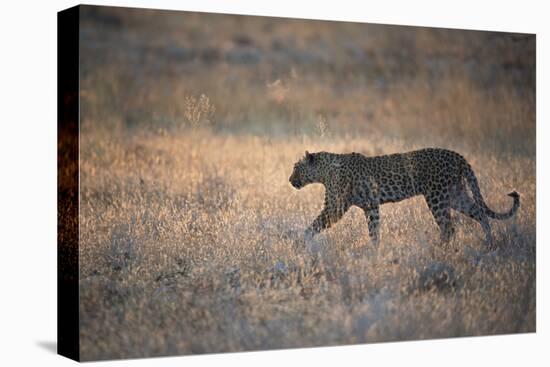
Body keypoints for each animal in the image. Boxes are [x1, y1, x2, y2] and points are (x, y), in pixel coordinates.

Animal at [288, 148, 520, 249]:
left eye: (296, 168)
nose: (290, 180)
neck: (324, 171)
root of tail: (458, 156)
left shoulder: (334, 207)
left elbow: (315, 225)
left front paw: (302, 241)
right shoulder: (371, 207)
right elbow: (374, 231)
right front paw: (375, 251)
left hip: (437, 197)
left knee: (449, 227)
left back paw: (438, 250)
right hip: (455, 194)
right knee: (480, 213)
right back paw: (489, 242)